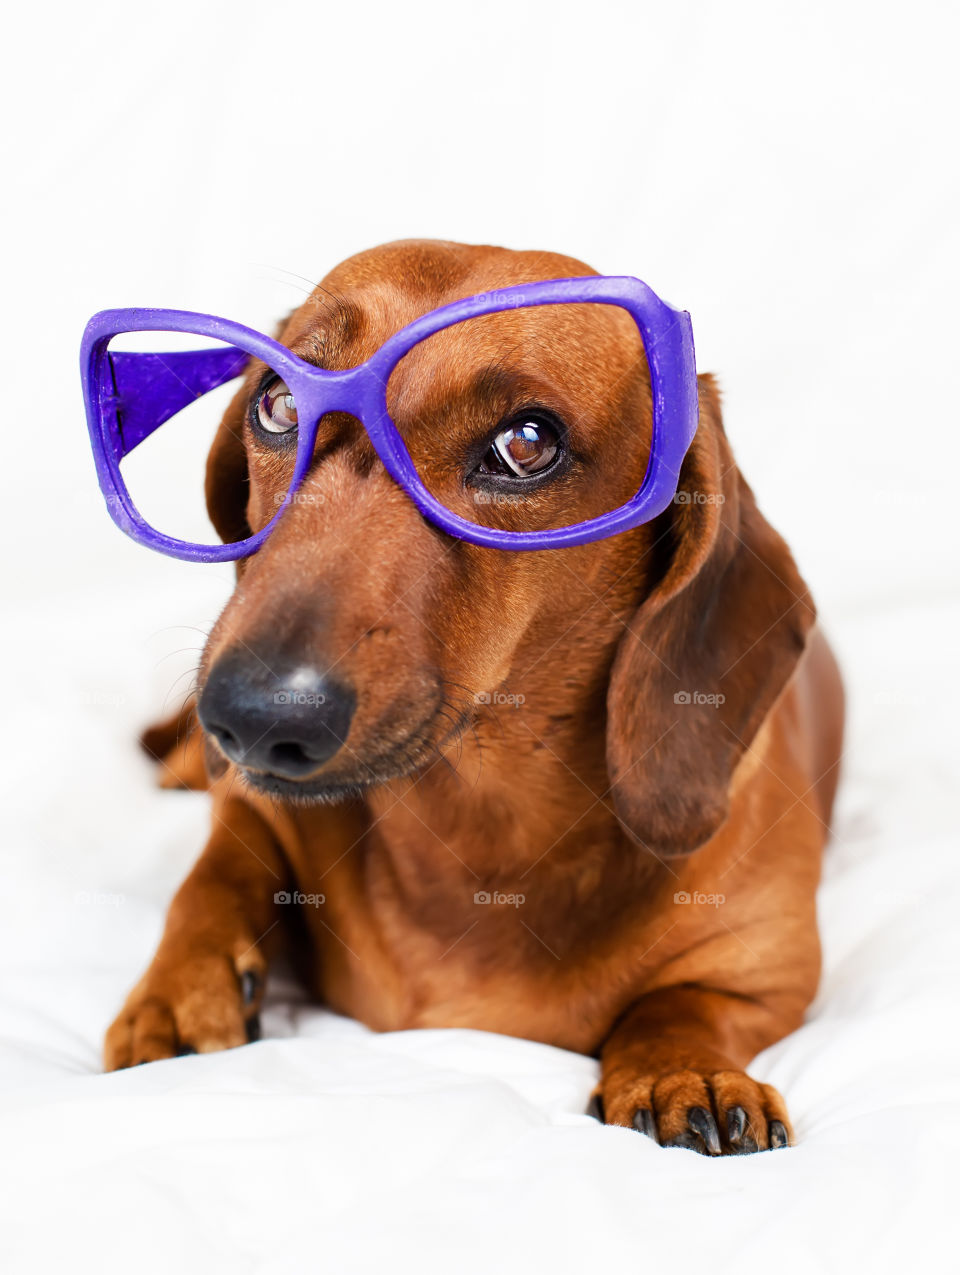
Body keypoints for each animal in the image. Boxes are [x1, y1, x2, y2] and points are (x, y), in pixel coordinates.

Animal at [104, 240, 841, 1157]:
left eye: (527, 443)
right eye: (276, 402)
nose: (250, 718)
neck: (479, 822)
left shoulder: (771, 965)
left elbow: (684, 1002)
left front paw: (685, 1068)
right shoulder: (254, 807)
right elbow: (211, 876)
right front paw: (176, 992)